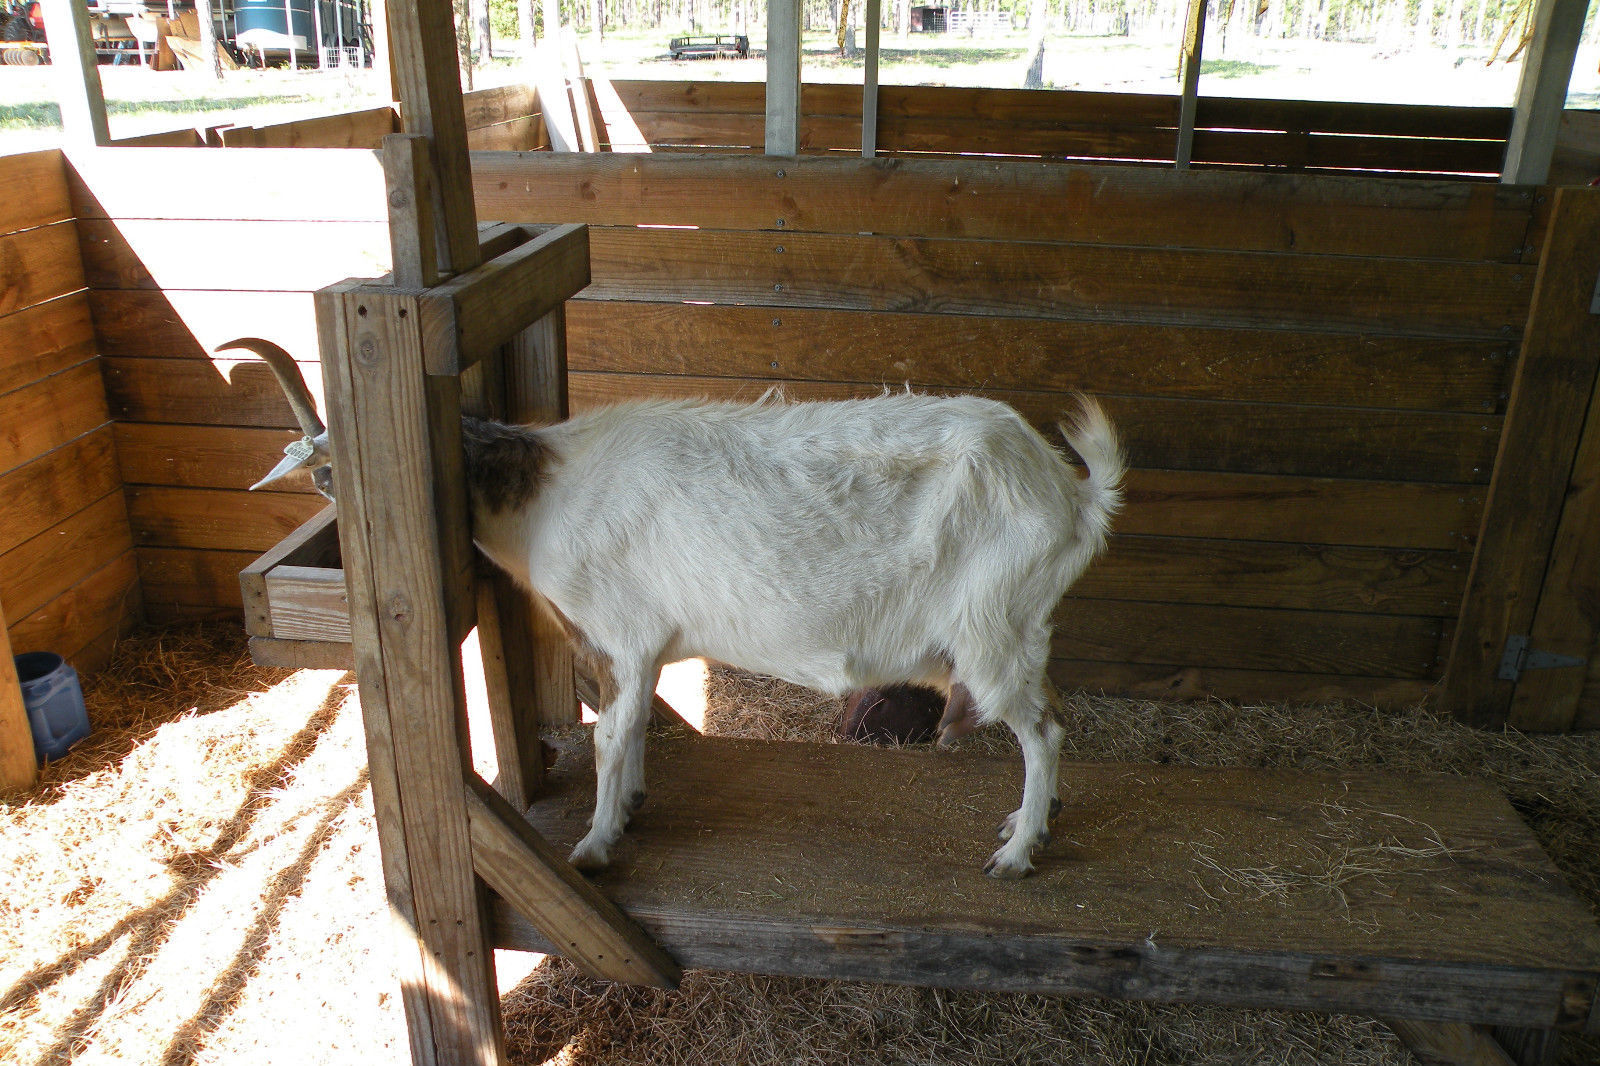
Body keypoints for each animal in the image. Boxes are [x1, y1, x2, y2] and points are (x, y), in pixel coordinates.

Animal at [236, 336, 1126, 879]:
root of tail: (1070, 491)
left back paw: (1018, 854)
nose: (346, 538)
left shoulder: (619, 635)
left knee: (1044, 730)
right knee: (1046, 717)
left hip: (990, 628)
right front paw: (629, 806)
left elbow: (609, 734)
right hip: (1019, 628)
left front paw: (594, 843)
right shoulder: (647, 646)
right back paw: (1026, 822)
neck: (545, 496)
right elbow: (630, 732)